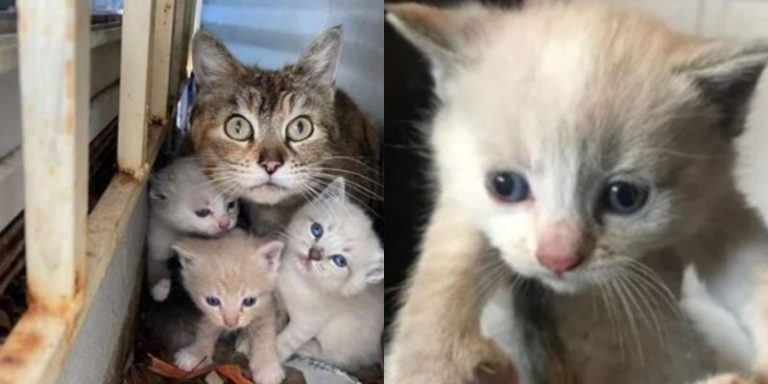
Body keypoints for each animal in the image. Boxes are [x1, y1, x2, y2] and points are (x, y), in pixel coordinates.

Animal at [146, 158, 237, 302]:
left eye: (231, 205)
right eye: (202, 212)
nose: (225, 224)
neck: (183, 233)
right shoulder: (157, 237)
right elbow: (154, 263)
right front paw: (159, 287)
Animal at [171, 230, 284, 384]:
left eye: (249, 301)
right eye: (212, 301)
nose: (231, 322)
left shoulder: (266, 303)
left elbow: (264, 331)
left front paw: (267, 367)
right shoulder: (211, 314)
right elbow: (207, 328)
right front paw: (196, 353)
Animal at [276, 178, 384, 370]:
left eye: (340, 261)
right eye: (317, 229)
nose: (314, 253)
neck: (298, 278)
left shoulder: (305, 324)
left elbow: (285, 341)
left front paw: (269, 359)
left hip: (337, 335)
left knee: (337, 358)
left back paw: (307, 348)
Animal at [388, 3, 768, 384]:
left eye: (624, 196)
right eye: (505, 185)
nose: (557, 258)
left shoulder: (716, 204)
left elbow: (752, 267)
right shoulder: (458, 189)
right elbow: (448, 257)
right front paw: (431, 363)